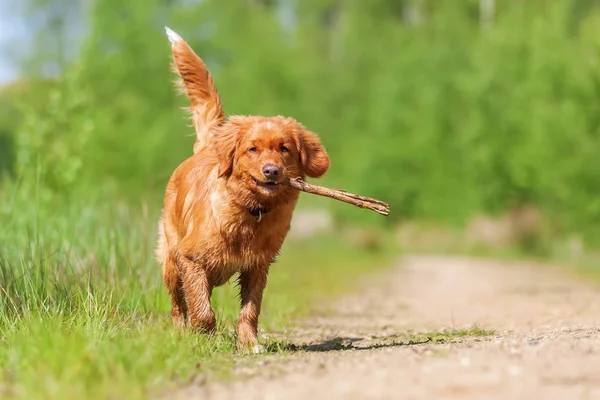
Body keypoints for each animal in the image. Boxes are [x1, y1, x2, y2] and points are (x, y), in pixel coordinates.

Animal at [154, 28, 328, 352]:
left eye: (284, 148)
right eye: (252, 149)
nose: (272, 171)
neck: (250, 212)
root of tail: (206, 148)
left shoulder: (258, 267)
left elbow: (250, 310)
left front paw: (249, 344)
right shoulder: (190, 260)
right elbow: (202, 309)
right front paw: (203, 337)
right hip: (170, 260)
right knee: (176, 305)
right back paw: (181, 333)